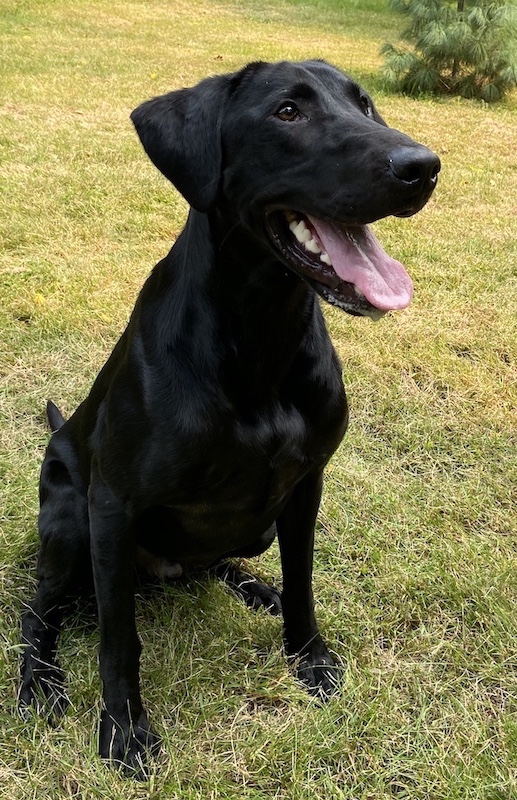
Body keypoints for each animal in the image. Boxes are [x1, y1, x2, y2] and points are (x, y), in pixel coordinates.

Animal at [20, 61, 440, 776]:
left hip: (255, 527)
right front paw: (124, 729)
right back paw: (38, 680)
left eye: (365, 105)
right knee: (40, 609)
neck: (260, 335)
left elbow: (303, 582)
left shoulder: (304, 487)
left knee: (216, 563)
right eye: (288, 112)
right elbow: (117, 637)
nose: (423, 167)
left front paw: (307, 656)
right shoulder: (112, 506)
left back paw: (254, 588)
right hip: (71, 523)